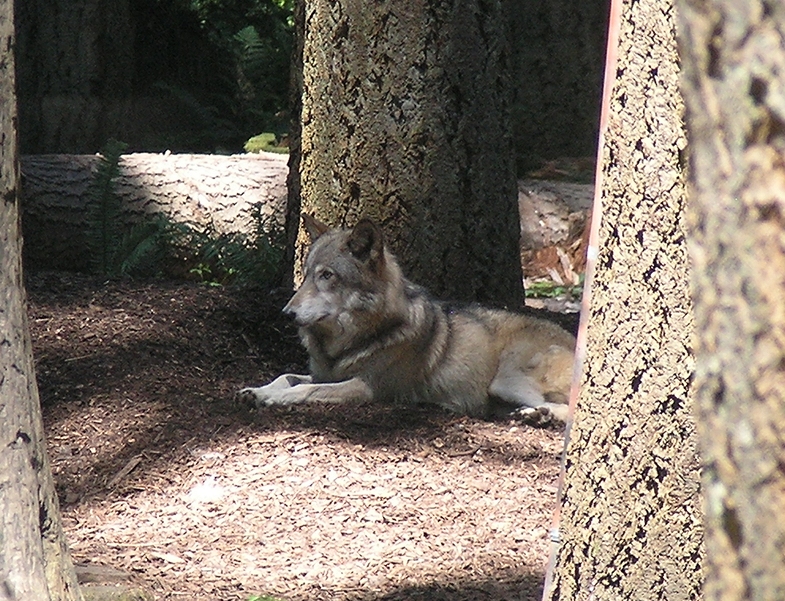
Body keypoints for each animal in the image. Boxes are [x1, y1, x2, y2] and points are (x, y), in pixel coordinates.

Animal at [238, 215, 576, 423]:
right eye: (307, 275)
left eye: (327, 276)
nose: (286, 313)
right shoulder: (325, 375)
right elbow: (286, 376)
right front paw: (257, 391)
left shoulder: (366, 388)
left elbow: (303, 390)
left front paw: (275, 400)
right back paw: (533, 416)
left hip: (505, 381)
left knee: (568, 408)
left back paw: (541, 416)